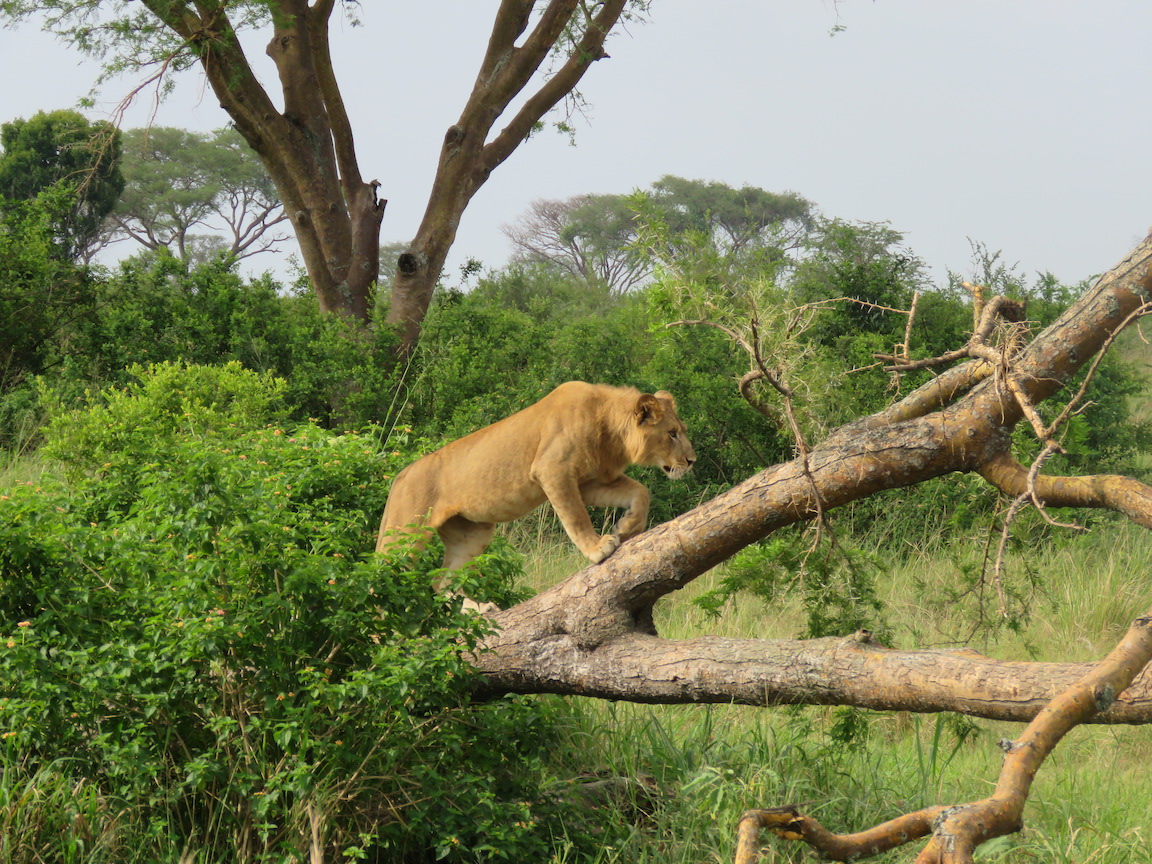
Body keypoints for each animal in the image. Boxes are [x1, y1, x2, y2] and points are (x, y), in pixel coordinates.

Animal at [376, 381, 695, 584]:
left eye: (681, 430)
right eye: (672, 433)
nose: (692, 460)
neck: (611, 435)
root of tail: (400, 475)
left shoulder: (588, 481)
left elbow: (640, 492)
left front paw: (628, 528)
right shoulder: (552, 469)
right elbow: (576, 517)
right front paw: (597, 548)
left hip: (471, 537)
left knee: (442, 582)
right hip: (405, 535)